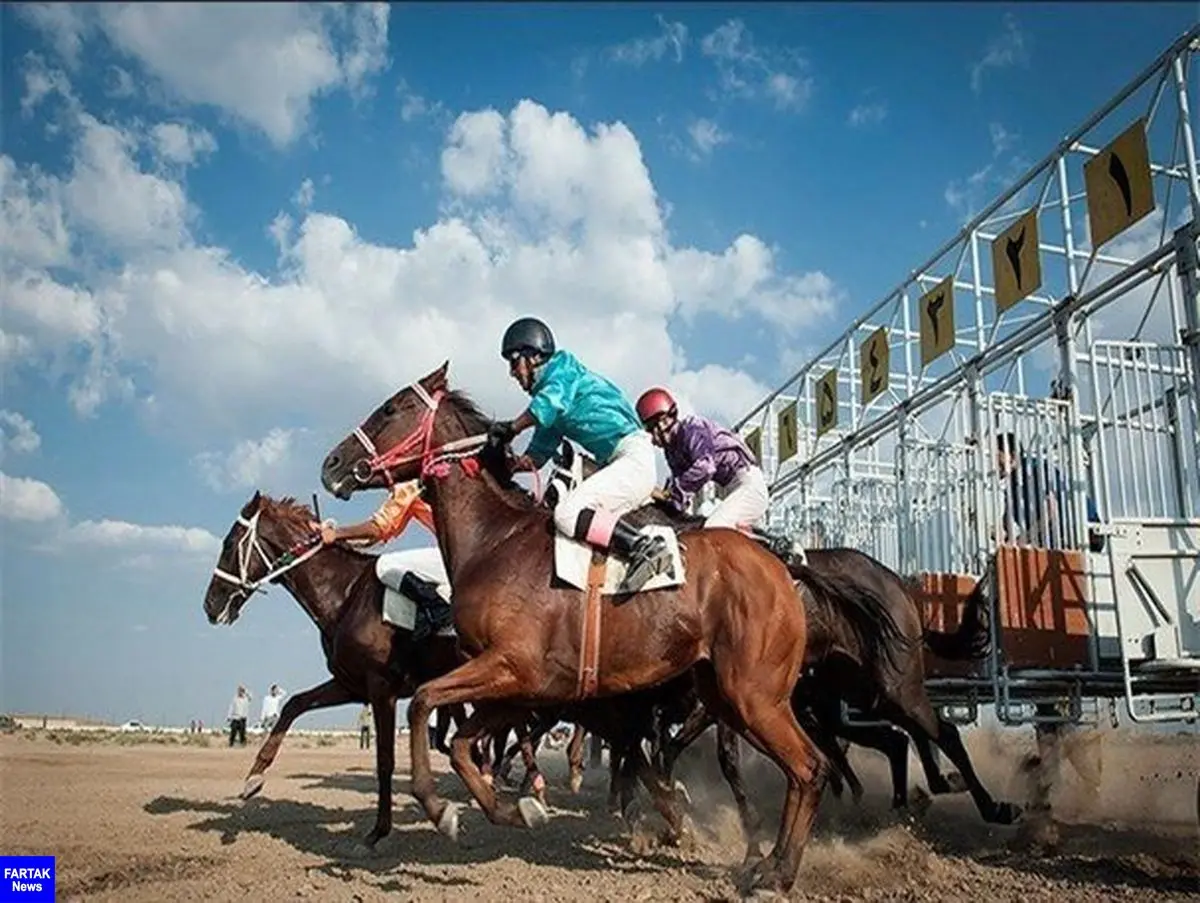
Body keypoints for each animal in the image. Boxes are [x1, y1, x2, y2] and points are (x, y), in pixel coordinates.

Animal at [314, 362, 844, 898]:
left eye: (390, 409)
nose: (331, 464)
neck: (494, 541)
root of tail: (783, 567)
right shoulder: (520, 688)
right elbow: (463, 745)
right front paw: (520, 808)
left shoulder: (512, 667)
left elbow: (423, 703)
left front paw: (443, 811)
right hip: (726, 695)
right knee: (798, 768)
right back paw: (765, 861)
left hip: (754, 694)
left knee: (808, 767)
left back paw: (778, 872)